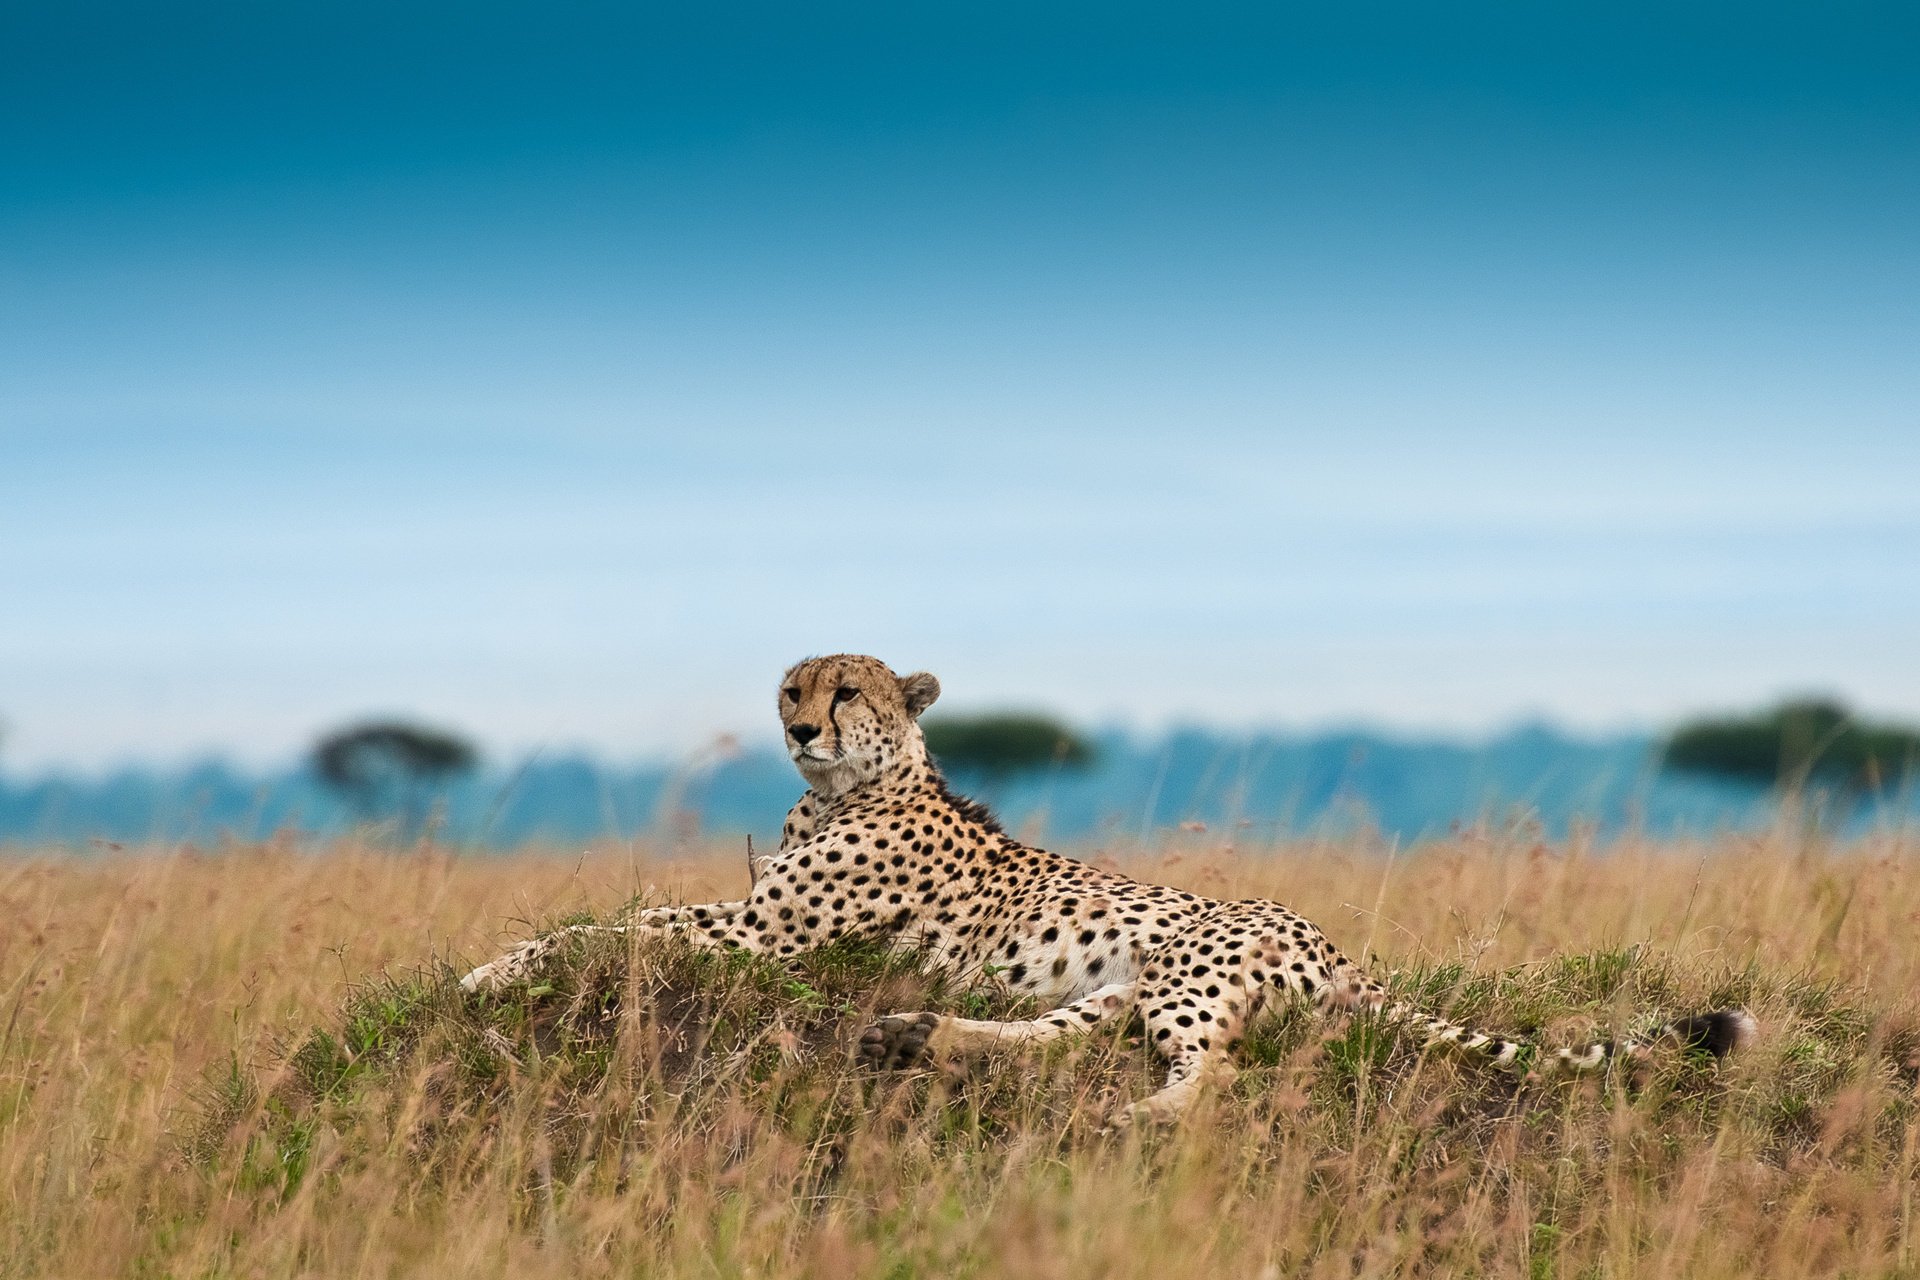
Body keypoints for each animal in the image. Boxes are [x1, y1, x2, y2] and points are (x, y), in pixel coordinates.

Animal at [460, 653, 1756, 1124]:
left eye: (845, 690)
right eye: (792, 684)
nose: (795, 726)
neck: (847, 788)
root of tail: (1336, 945)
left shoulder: (765, 932)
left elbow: (614, 924)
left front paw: (488, 966)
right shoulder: (756, 919)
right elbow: (621, 918)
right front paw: (497, 960)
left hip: (1182, 973)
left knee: (1212, 1071)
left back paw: (1128, 1115)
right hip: (1124, 983)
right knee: (1067, 1036)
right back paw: (917, 1033)